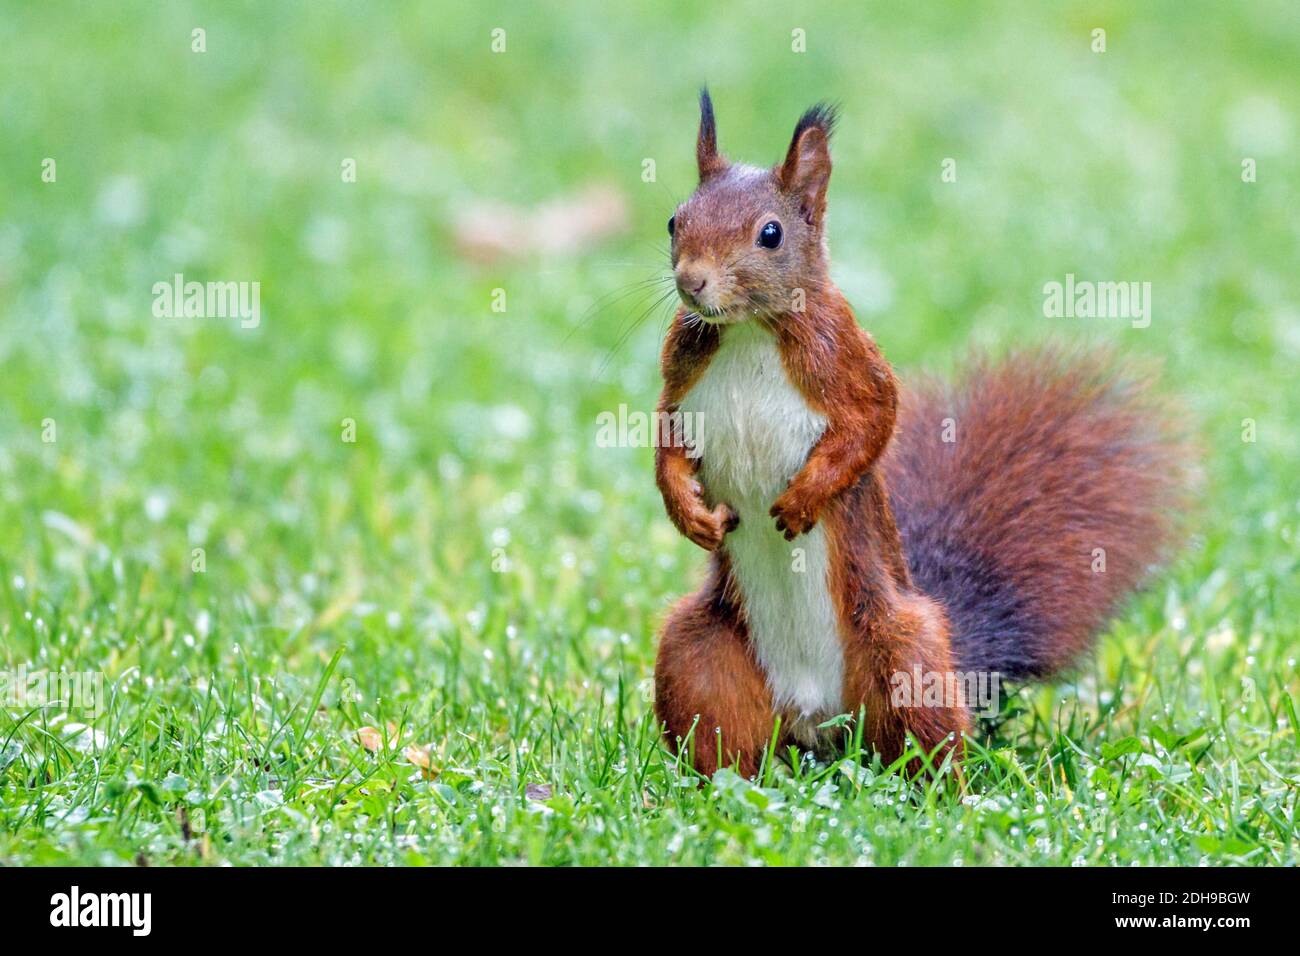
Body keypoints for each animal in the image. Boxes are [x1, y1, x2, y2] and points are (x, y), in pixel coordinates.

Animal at [650, 89, 1190, 780]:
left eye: (770, 234)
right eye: (674, 221)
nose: (692, 282)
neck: (748, 329)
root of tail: (819, 720)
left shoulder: (851, 361)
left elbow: (874, 422)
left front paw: (804, 498)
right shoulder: (681, 376)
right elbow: (666, 440)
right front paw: (687, 512)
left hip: (905, 649)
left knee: (926, 735)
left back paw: (936, 787)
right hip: (700, 653)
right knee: (725, 735)